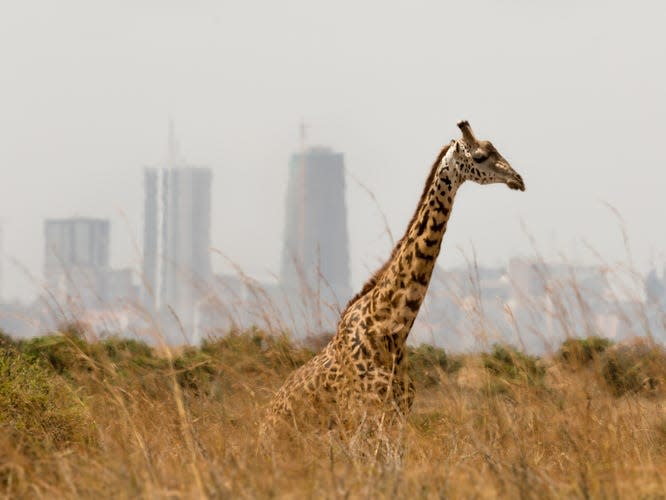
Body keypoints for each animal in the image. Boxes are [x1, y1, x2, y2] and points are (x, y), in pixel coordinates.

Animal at [262, 120, 520, 434]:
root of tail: (265, 420)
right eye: (481, 156)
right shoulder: (364, 415)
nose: (518, 179)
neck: (390, 330)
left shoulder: (397, 417)